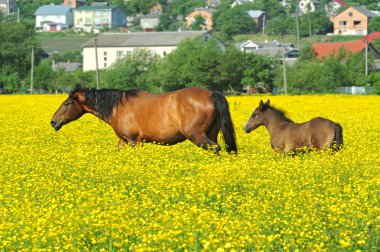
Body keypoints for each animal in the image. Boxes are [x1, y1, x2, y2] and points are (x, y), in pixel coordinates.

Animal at [49, 85, 236, 154]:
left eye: (66, 103)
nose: (53, 121)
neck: (118, 107)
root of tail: (211, 93)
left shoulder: (133, 141)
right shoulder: (123, 140)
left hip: (197, 135)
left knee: (216, 148)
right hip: (209, 134)